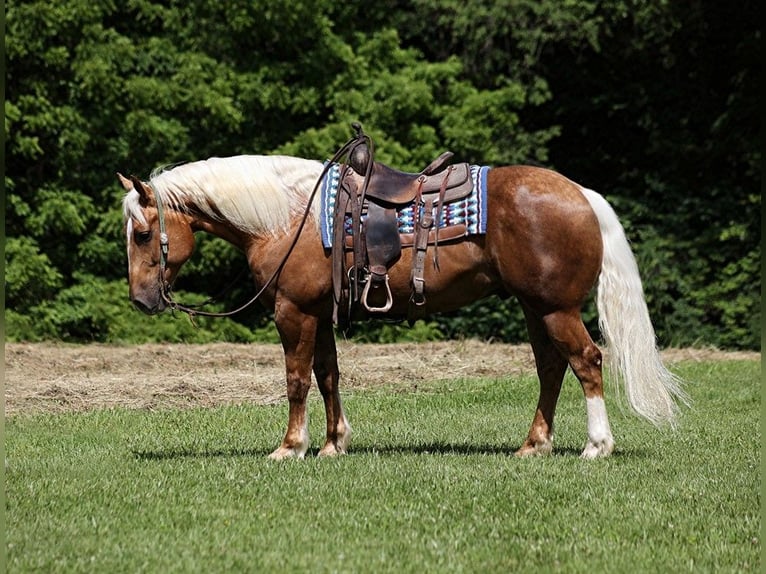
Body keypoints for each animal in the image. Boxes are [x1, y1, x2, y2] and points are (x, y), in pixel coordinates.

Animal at [119, 151, 687, 460]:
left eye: (144, 233)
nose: (141, 301)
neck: (289, 216)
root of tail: (582, 193)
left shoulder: (293, 311)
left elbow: (297, 379)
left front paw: (290, 447)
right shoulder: (319, 312)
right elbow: (328, 375)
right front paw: (333, 443)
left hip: (555, 308)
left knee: (586, 361)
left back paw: (596, 445)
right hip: (535, 307)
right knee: (552, 368)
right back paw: (533, 444)